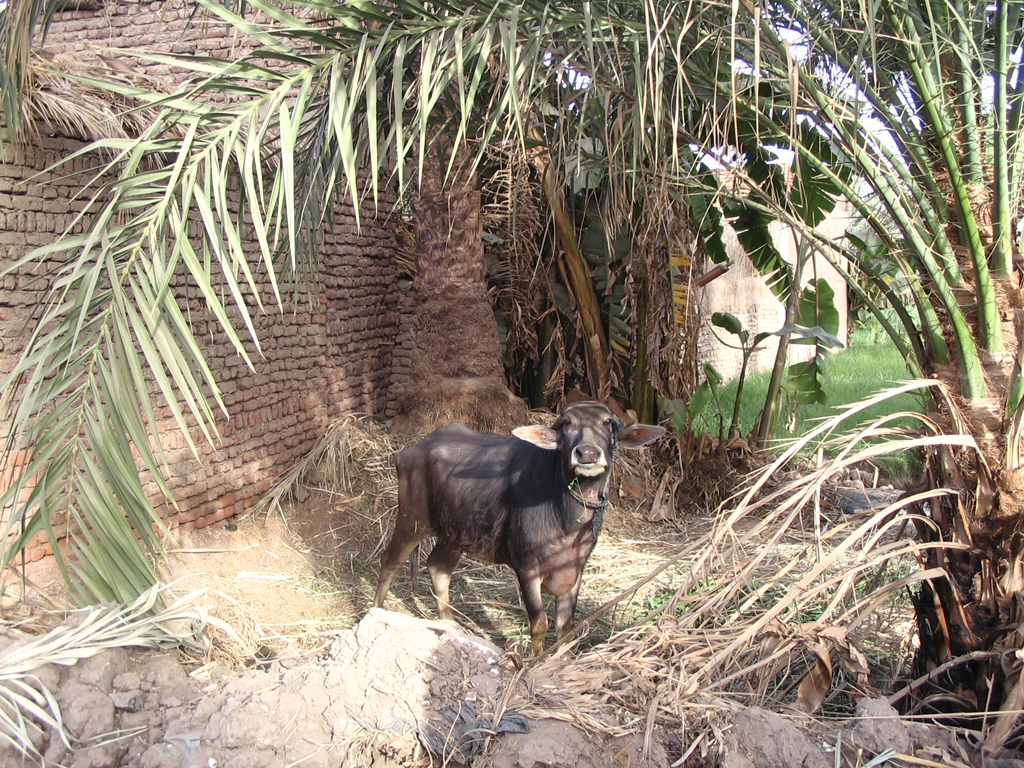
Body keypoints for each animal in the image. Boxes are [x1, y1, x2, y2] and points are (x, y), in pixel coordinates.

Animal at [374, 399, 663, 659]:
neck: (565, 519)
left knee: (438, 568)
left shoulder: (576, 569)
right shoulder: (527, 569)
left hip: (454, 534)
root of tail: (410, 451)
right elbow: (539, 624)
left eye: (608, 423)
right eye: (567, 424)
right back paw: (376, 613)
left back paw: (450, 626)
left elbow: (566, 627)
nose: (588, 454)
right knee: (390, 562)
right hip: (411, 521)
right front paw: (534, 662)